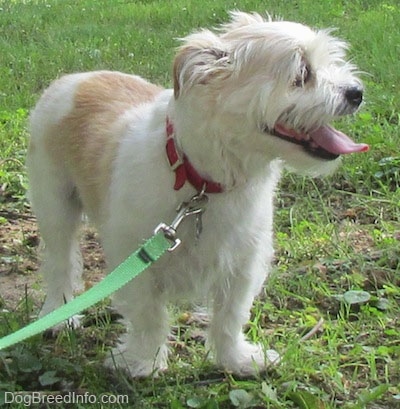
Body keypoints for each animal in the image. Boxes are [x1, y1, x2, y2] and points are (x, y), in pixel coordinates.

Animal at [25, 11, 368, 376]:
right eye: (302, 73)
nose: (356, 92)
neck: (202, 182)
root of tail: (77, 78)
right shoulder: (137, 258)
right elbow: (148, 316)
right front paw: (145, 361)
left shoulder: (243, 261)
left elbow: (230, 316)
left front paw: (236, 359)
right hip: (54, 206)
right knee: (60, 263)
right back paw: (58, 313)